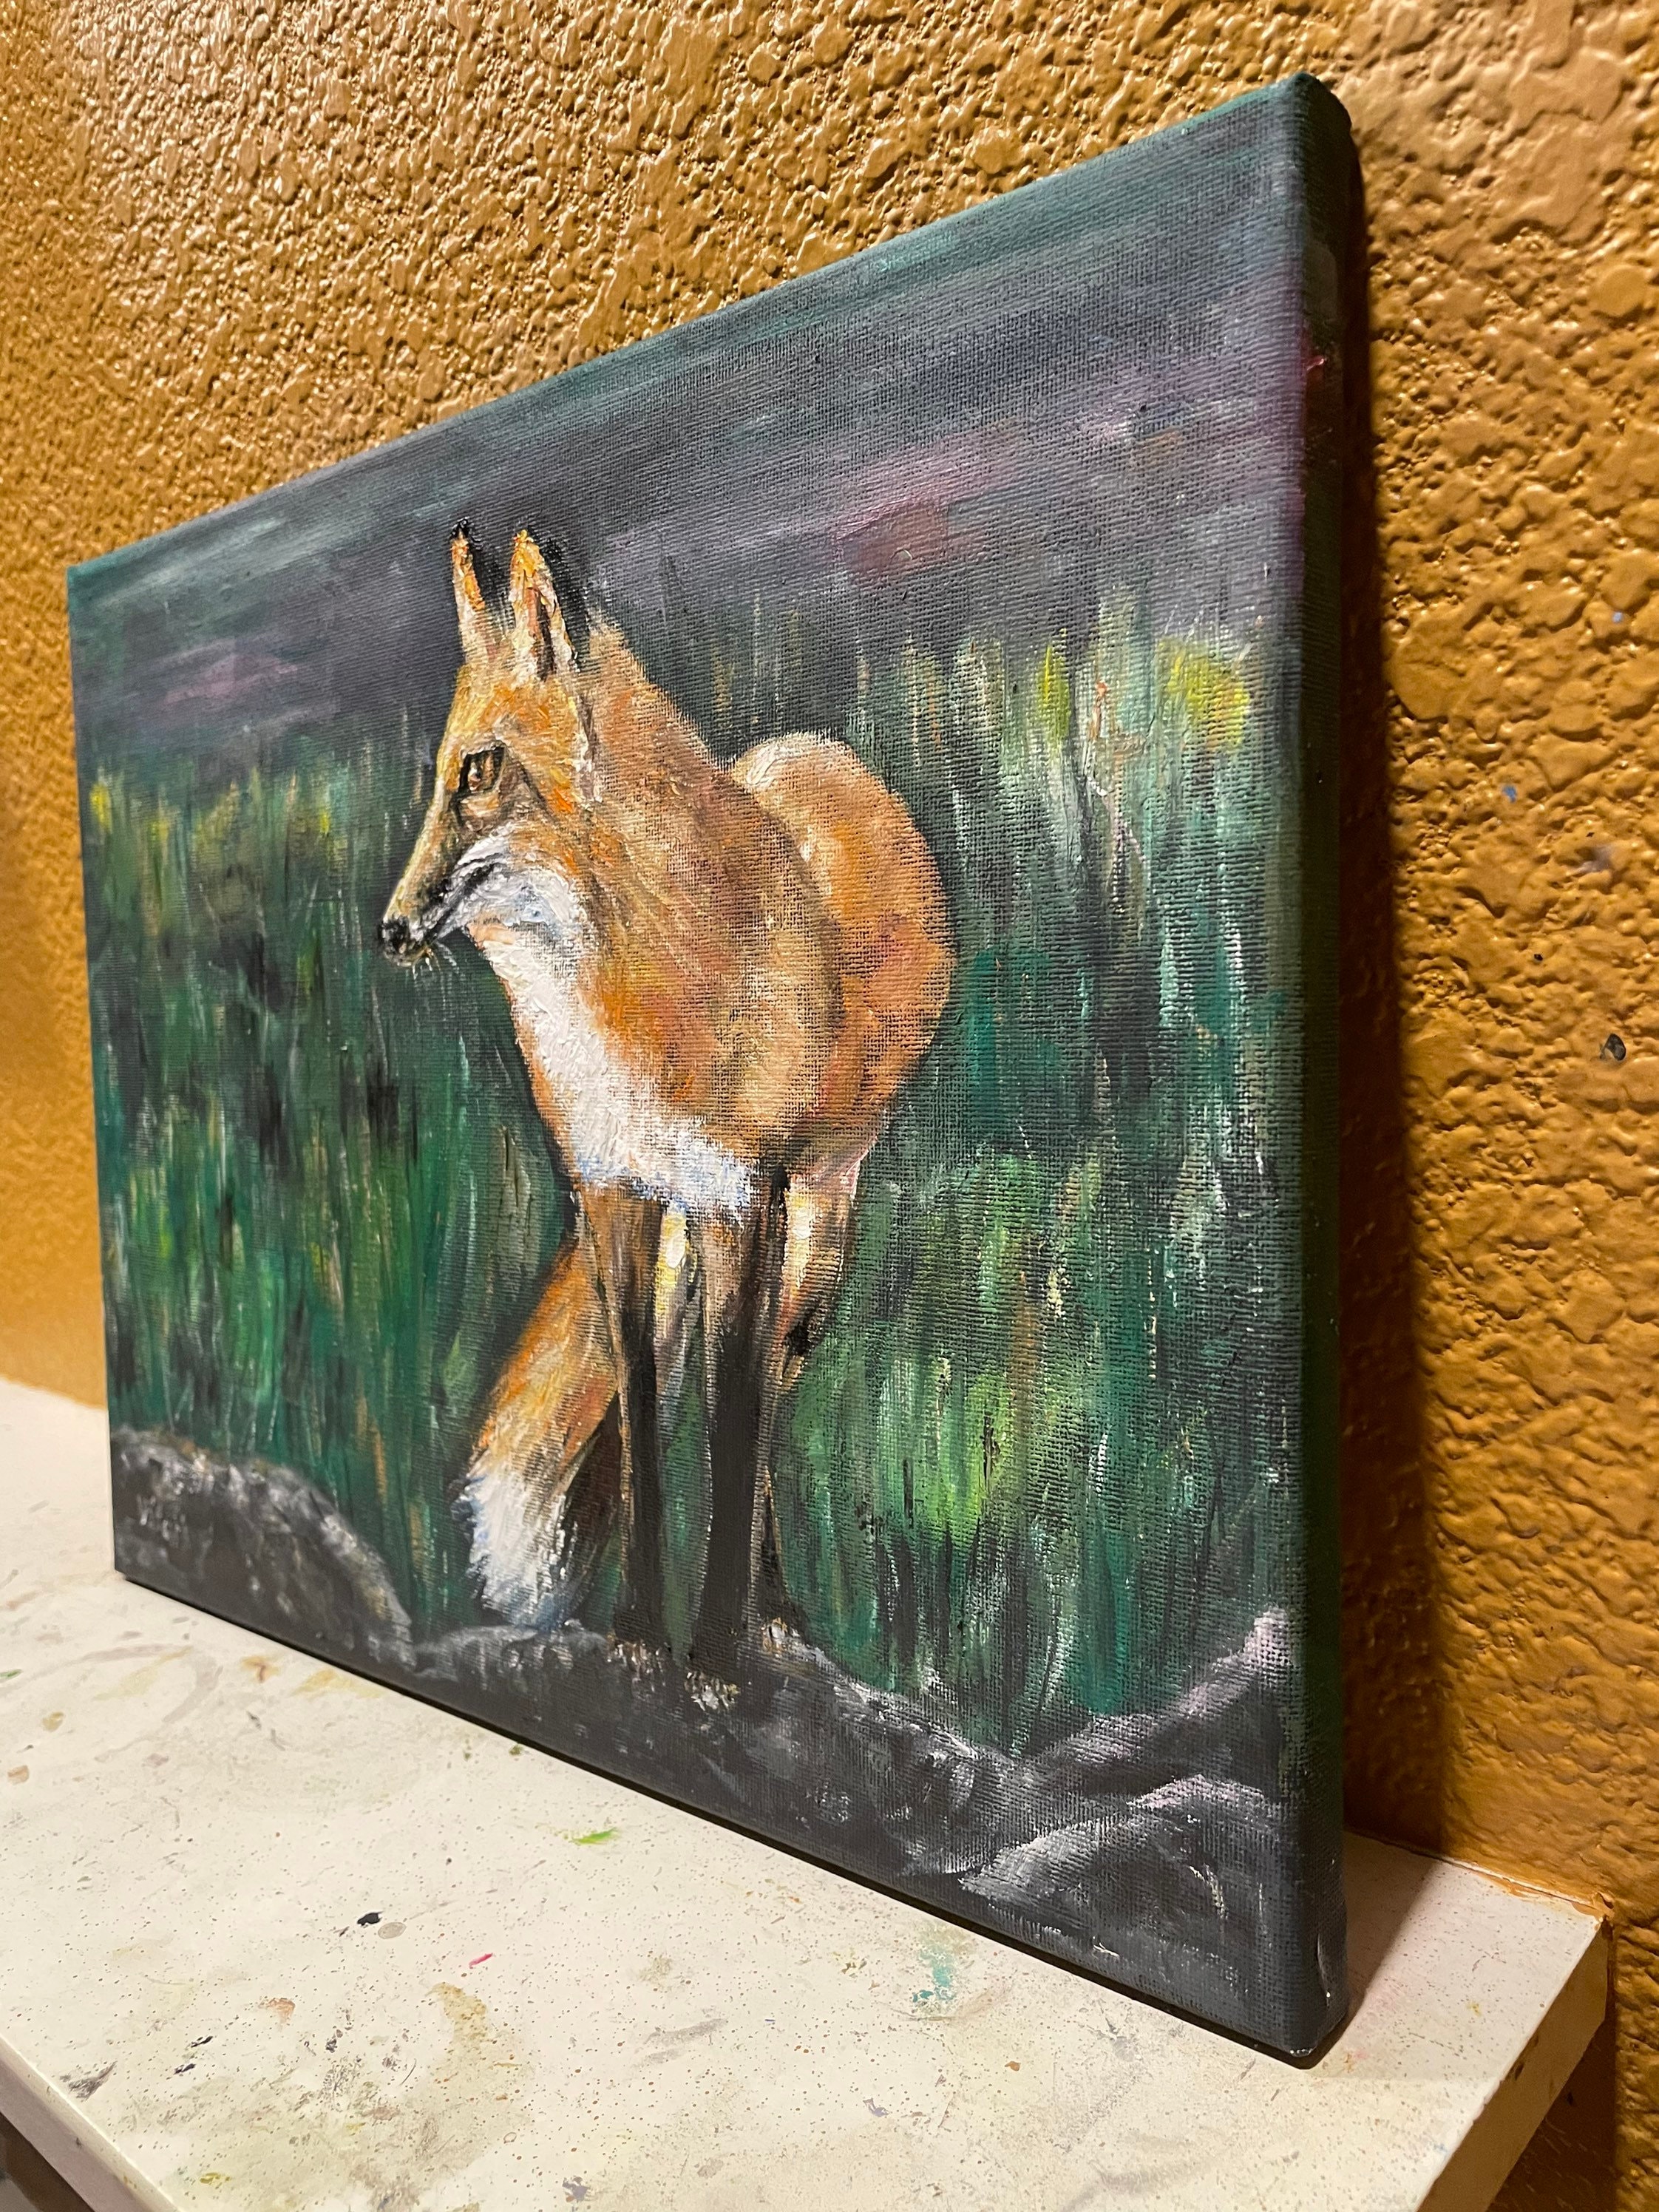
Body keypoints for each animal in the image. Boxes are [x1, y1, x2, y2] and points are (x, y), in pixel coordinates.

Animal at [380, 526, 953, 1683]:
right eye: (440, 775)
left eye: (478, 771)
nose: (391, 926)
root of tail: (816, 750)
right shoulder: (615, 1191)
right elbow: (644, 1418)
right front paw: (641, 1632)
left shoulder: (745, 1199)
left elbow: (731, 1423)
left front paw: (718, 1651)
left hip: (820, 1226)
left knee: (772, 1393)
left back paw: (773, 1609)